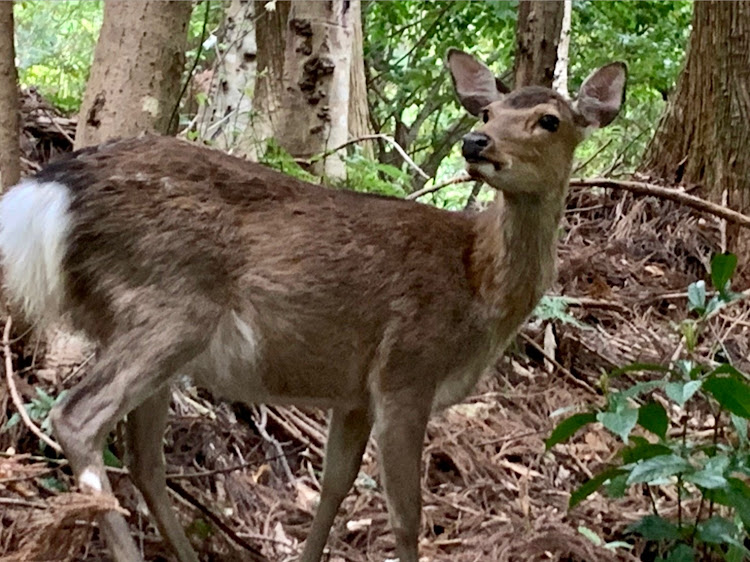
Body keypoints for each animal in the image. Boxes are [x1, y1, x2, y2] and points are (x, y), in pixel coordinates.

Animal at [0, 50, 624, 560]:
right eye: (488, 113)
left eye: (549, 120)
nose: (476, 143)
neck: (478, 286)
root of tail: (49, 193)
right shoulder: (407, 370)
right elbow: (406, 516)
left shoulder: (354, 394)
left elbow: (334, 488)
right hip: (170, 307)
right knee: (78, 417)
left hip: (145, 327)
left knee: (143, 457)